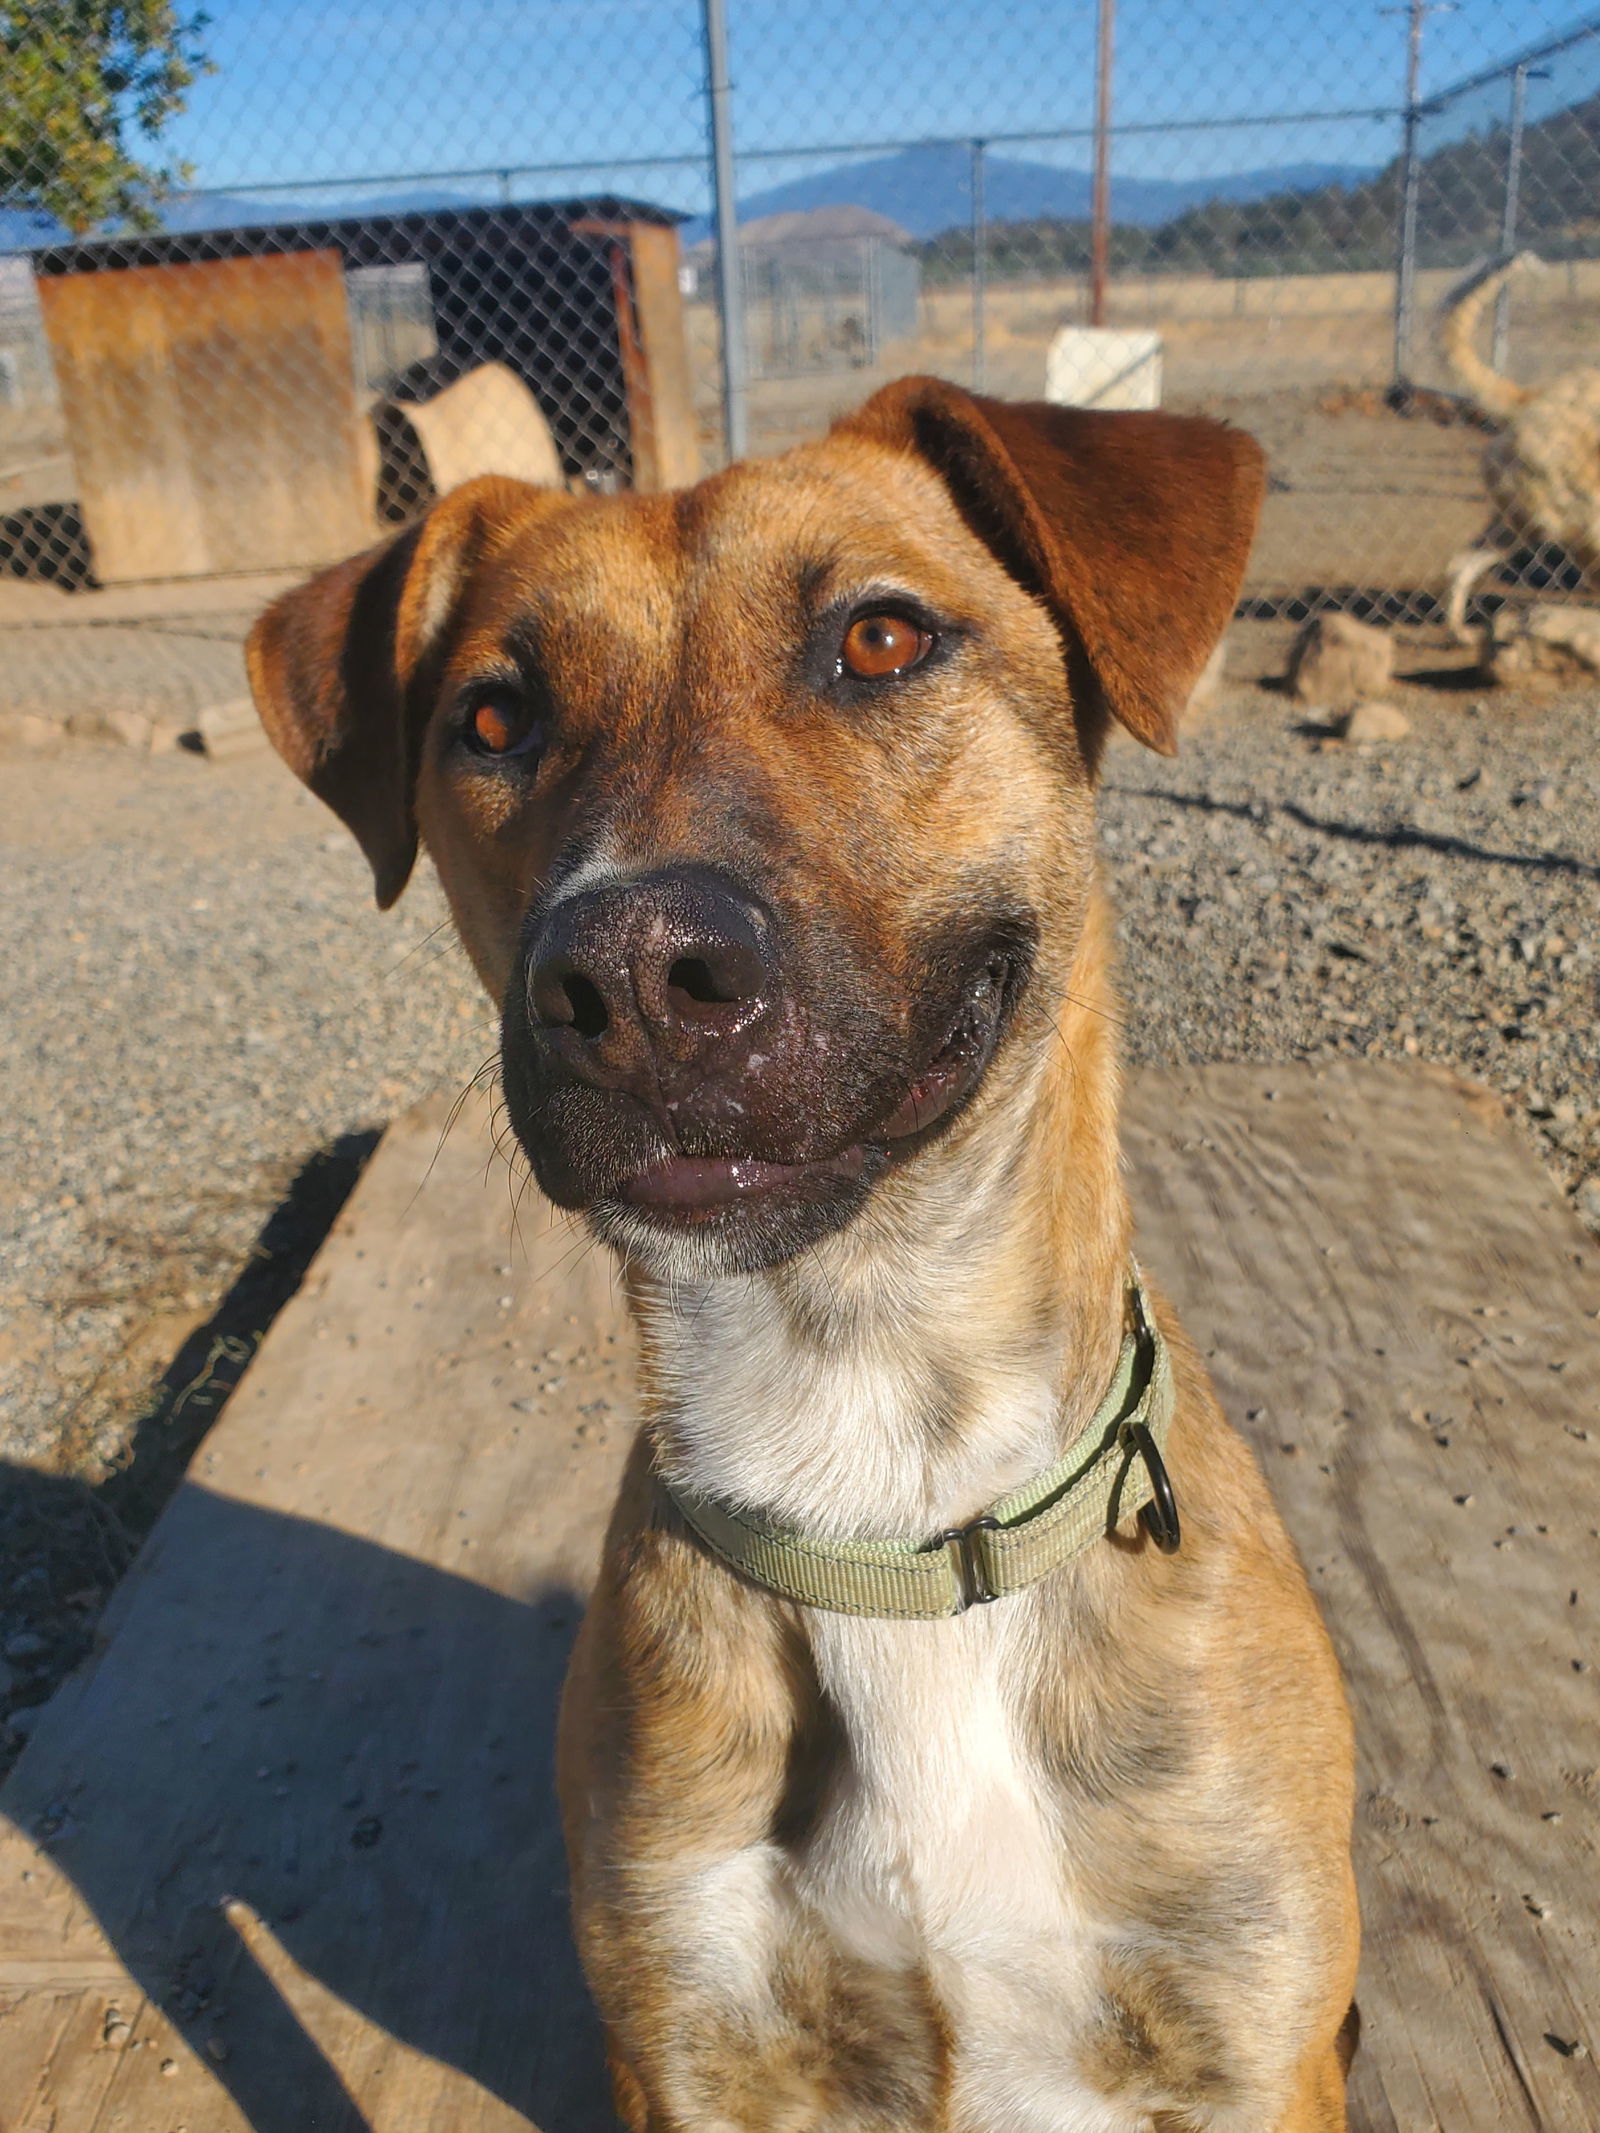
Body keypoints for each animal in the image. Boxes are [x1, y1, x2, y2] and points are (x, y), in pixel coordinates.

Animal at [244, 383, 1356, 2133]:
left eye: (882, 638)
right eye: (491, 721)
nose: (630, 977)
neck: (877, 1455)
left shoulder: (1249, 2045)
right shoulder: (690, 2045)